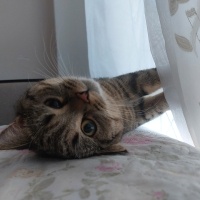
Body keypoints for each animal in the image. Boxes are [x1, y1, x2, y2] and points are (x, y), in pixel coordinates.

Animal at [0, 68, 169, 159]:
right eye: (88, 127)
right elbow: (156, 103)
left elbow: (149, 78)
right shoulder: (135, 111)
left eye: (54, 103)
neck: (114, 105)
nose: (84, 95)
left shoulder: (123, 88)